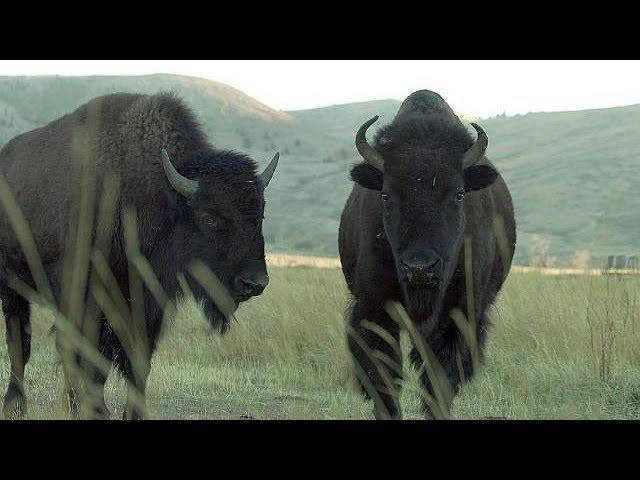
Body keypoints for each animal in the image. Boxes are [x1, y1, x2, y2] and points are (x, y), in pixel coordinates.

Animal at [0, 92, 280, 418]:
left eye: (260, 214)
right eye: (209, 217)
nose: (254, 283)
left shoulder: (147, 304)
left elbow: (137, 362)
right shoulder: (87, 297)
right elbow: (92, 357)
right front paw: (97, 410)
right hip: (12, 286)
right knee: (20, 344)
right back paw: (16, 405)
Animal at [340, 91, 516, 420]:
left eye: (459, 194)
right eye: (386, 195)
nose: (420, 268)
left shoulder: (459, 315)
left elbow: (440, 380)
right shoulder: (373, 308)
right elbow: (382, 375)